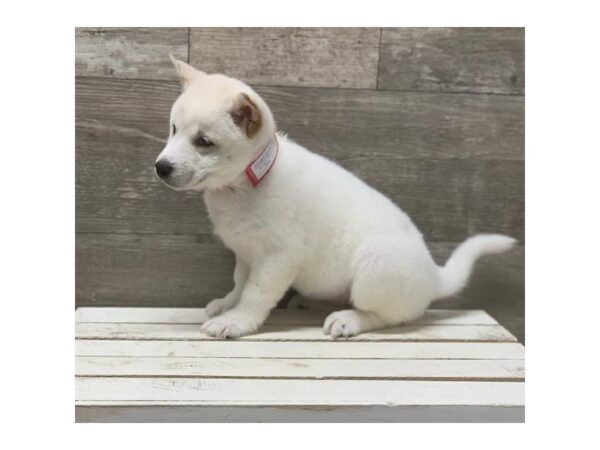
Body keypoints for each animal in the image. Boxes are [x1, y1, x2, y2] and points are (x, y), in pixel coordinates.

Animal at [155, 56, 516, 338]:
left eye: (204, 141)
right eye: (173, 129)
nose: (161, 167)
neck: (248, 183)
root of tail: (435, 276)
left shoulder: (277, 259)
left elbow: (255, 293)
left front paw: (238, 320)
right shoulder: (245, 253)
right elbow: (238, 283)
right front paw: (227, 305)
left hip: (374, 265)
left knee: (389, 316)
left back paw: (349, 319)